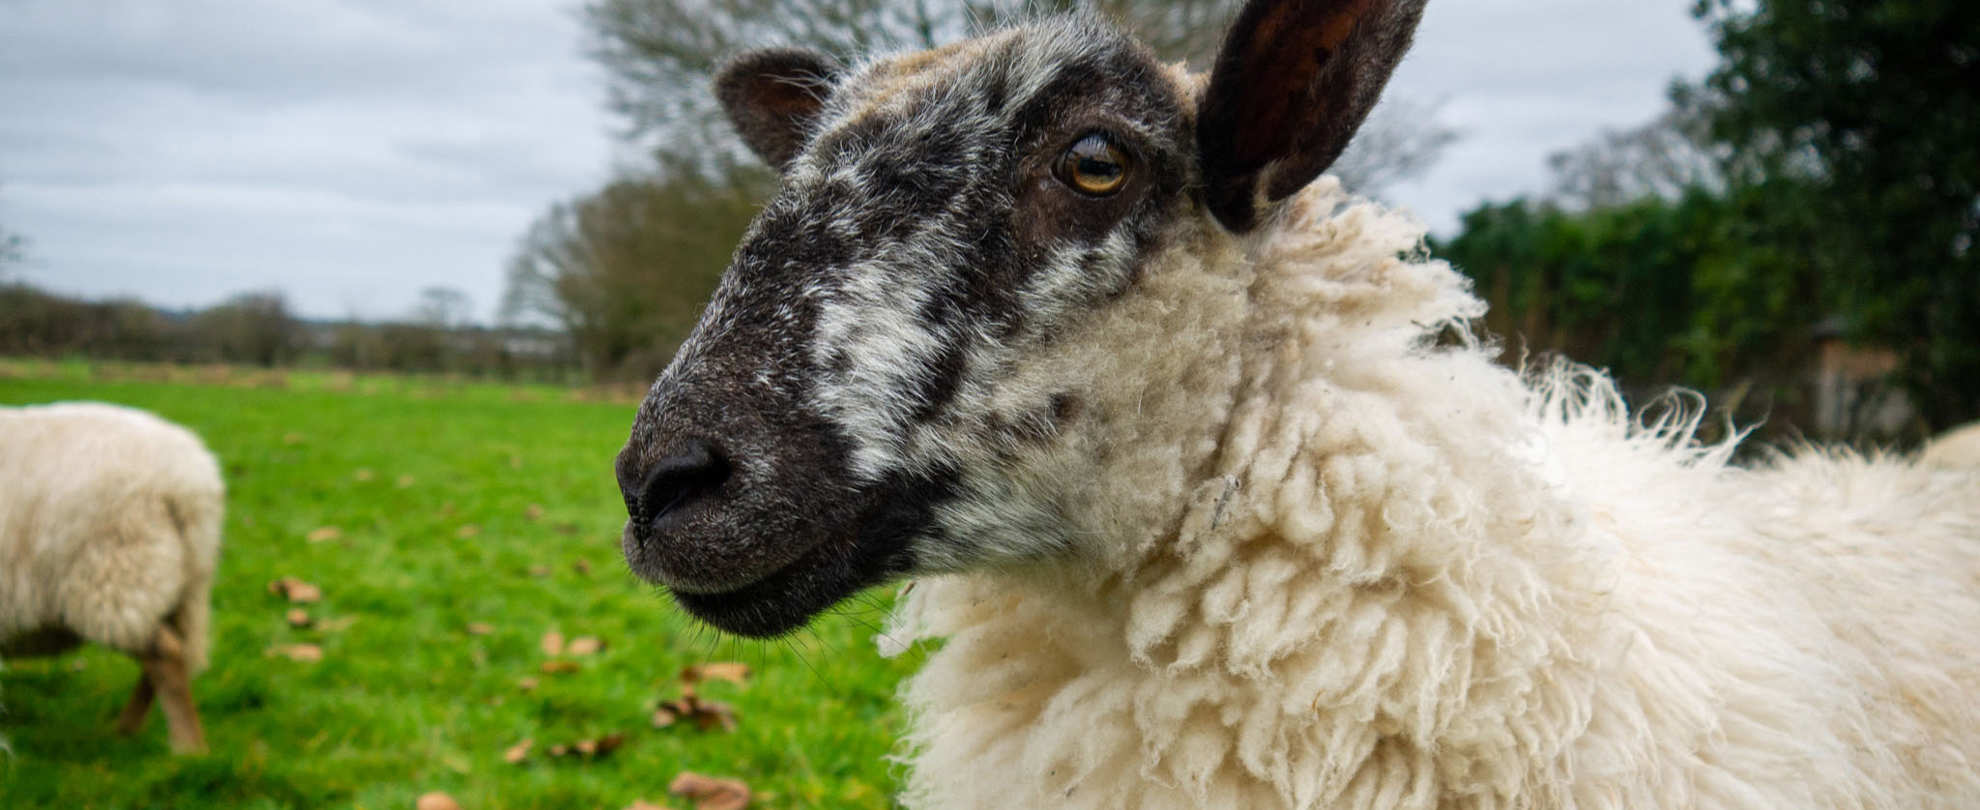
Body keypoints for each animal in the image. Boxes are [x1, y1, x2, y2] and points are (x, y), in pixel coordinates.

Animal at [1, 401, 222, 753]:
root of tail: (188, 481)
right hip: (179, 582)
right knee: (169, 654)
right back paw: (127, 732)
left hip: (118, 575)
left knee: (165, 656)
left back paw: (187, 748)